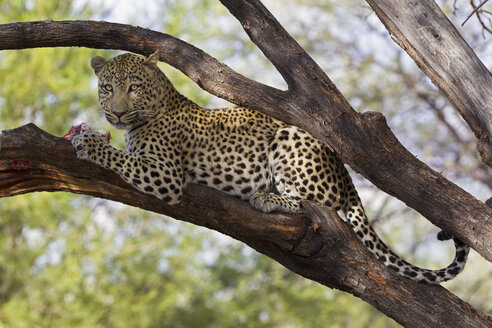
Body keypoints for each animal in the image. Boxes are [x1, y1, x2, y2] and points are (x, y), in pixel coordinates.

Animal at [72, 52, 468, 284]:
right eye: (107, 87)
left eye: (133, 87)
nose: (117, 113)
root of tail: (345, 172)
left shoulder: (166, 174)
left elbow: (122, 158)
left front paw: (88, 143)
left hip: (289, 138)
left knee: (318, 206)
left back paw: (267, 198)